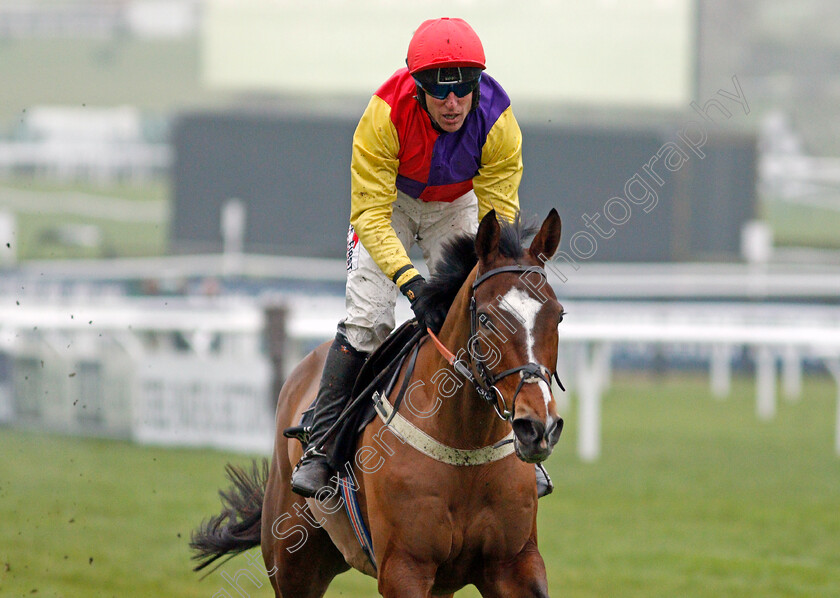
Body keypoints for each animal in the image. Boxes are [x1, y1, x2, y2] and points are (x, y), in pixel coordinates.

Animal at [192, 209, 564, 596]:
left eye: (559, 315)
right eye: (487, 318)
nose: (537, 427)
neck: (464, 446)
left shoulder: (514, 564)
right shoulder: (405, 568)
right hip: (293, 563)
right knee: (360, 330)